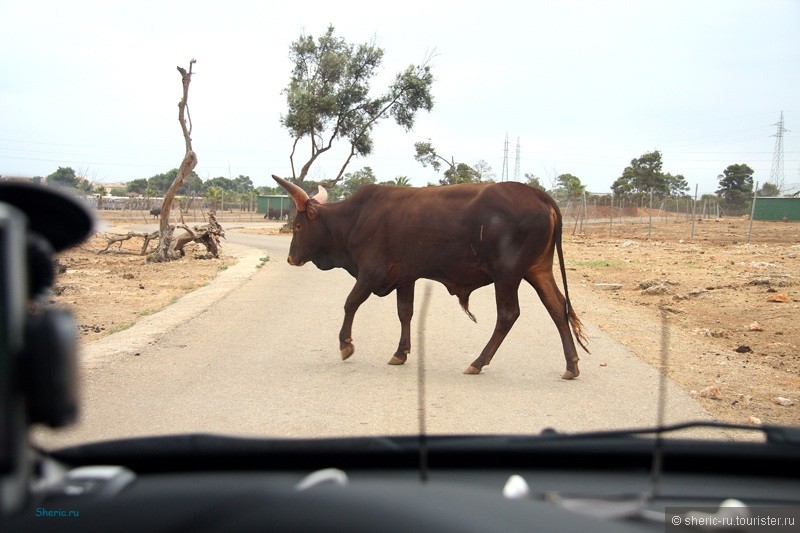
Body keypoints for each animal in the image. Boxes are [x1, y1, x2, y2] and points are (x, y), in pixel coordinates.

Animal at [272, 176, 592, 378]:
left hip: (508, 275)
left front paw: (345, 345)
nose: (290, 258)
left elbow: (350, 303)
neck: (353, 220)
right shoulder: (404, 277)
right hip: (538, 270)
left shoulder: (370, 273)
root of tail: (538, 194)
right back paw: (572, 366)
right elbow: (405, 312)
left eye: (298, 226)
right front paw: (400, 353)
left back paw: (478, 362)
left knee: (508, 315)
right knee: (557, 308)